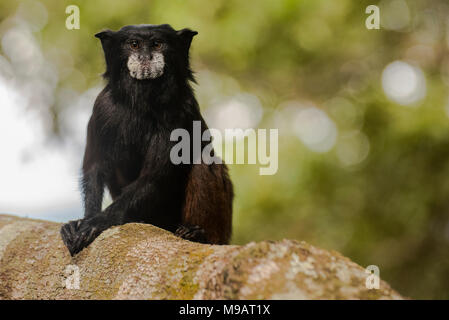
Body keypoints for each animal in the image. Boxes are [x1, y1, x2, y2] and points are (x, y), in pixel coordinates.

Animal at [60, 23, 233, 256]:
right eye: (134, 44)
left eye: (157, 44)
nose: (145, 57)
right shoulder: (102, 108)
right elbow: (94, 167)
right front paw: (82, 221)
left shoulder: (179, 110)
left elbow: (153, 177)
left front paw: (96, 222)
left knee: (205, 161)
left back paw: (199, 236)